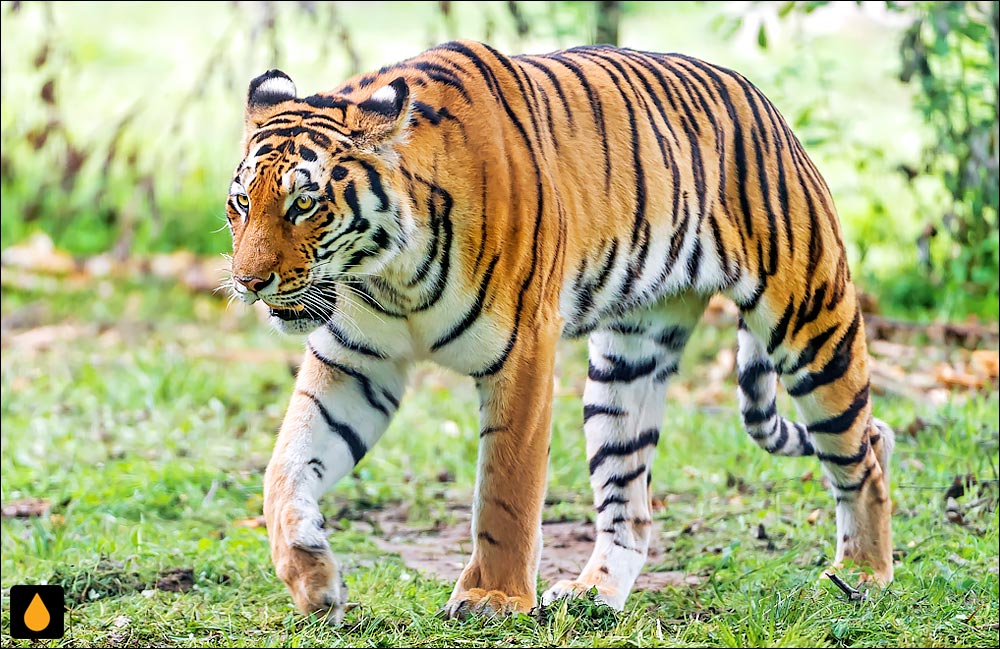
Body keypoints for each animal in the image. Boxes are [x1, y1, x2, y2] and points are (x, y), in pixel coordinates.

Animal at [229, 40, 900, 624]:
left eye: (304, 204)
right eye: (241, 204)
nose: (248, 281)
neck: (389, 273)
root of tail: (760, 100)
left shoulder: (523, 350)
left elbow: (506, 489)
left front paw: (494, 598)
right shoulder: (355, 362)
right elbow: (285, 468)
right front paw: (312, 576)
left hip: (811, 324)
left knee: (864, 450)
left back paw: (862, 574)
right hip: (627, 366)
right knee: (632, 511)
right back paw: (589, 597)